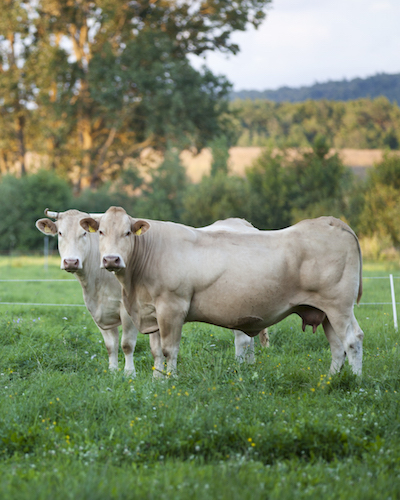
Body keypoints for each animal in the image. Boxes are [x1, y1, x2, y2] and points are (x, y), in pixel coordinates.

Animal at [79, 206, 364, 376]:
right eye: (101, 231)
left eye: (128, 232)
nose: (111, 259)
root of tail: (331, 222)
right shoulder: (150, 311)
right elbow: (156, 350)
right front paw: (156, 380)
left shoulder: (172, 307)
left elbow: (170, 349)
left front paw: (169, 380)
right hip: (324, 311)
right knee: (337, 345)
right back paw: (330, 380)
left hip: (339, 306)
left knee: (352, 339)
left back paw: (356, 382)